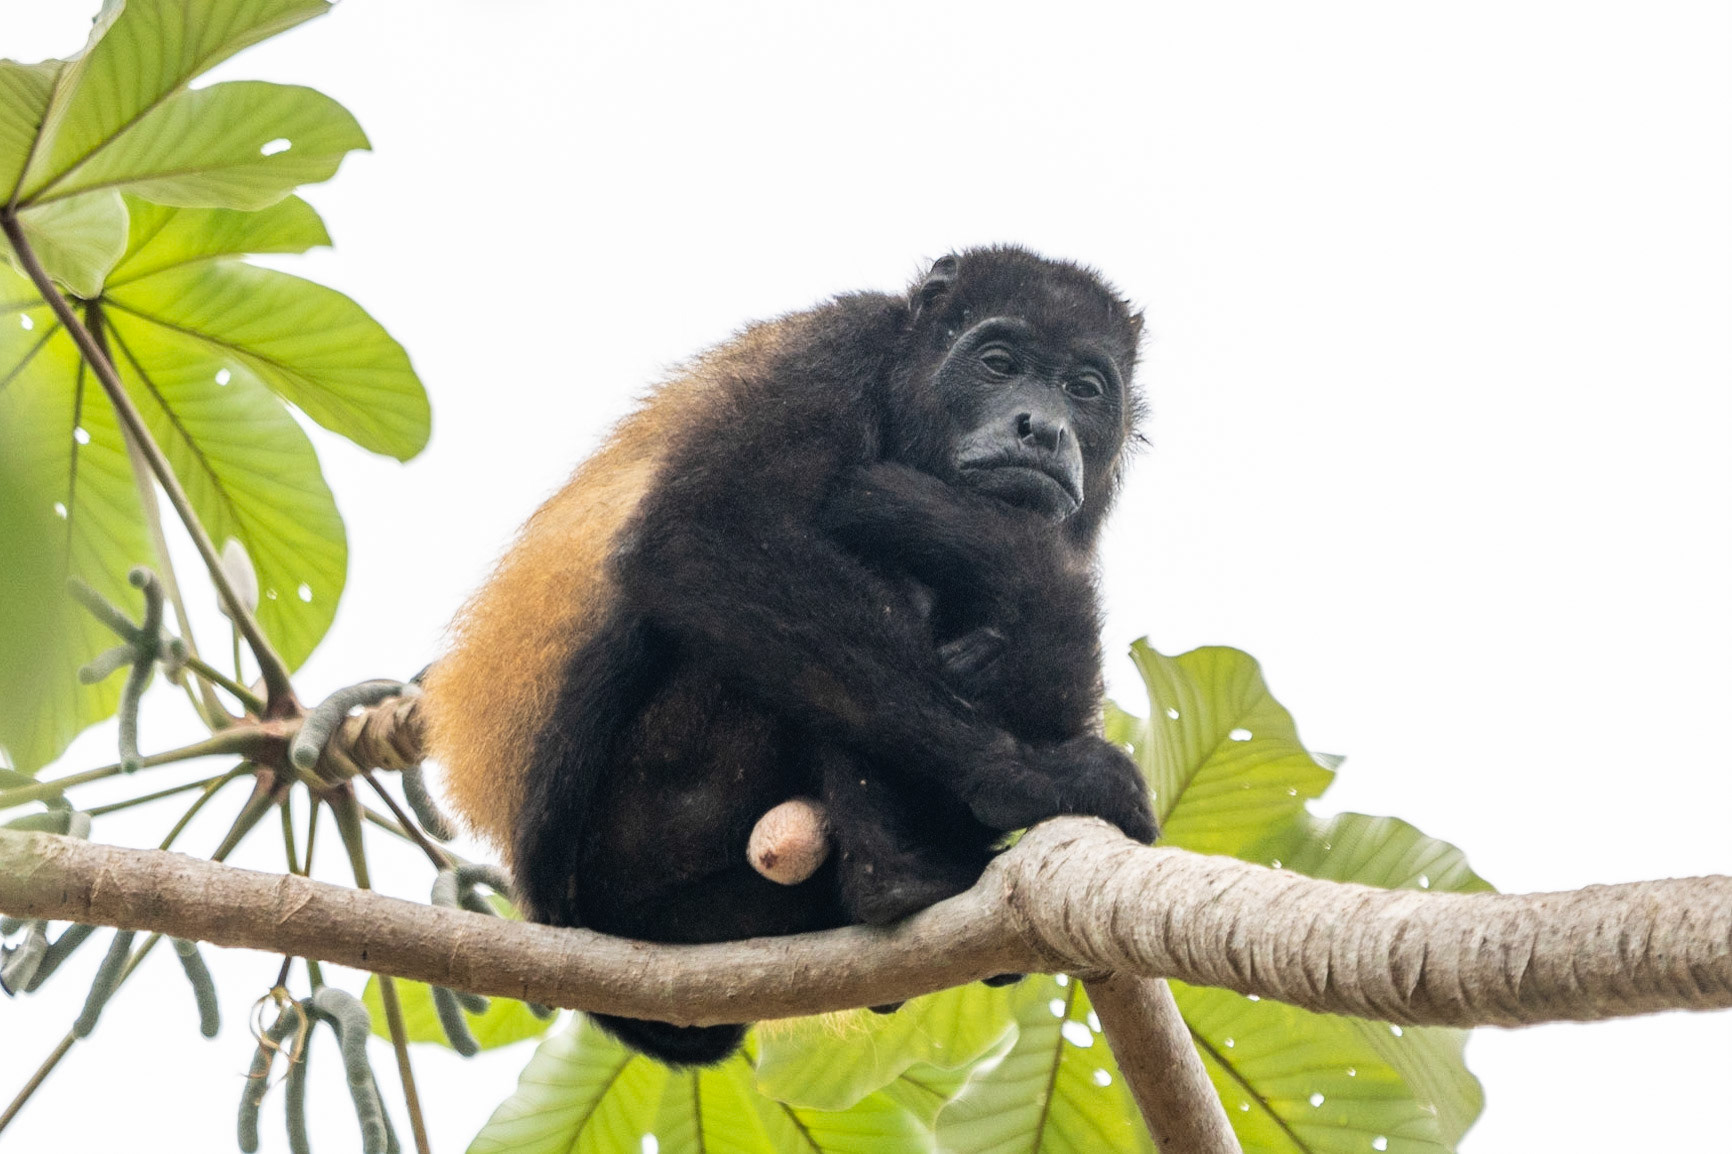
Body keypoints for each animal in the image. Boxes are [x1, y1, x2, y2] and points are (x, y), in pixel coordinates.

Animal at [420, 246, 1155, 1066]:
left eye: (1085, 389)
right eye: (998, 362)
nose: (1043, 429)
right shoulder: (832, 352)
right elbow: (705, 537)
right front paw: (1026, 777)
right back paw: (899, 883)